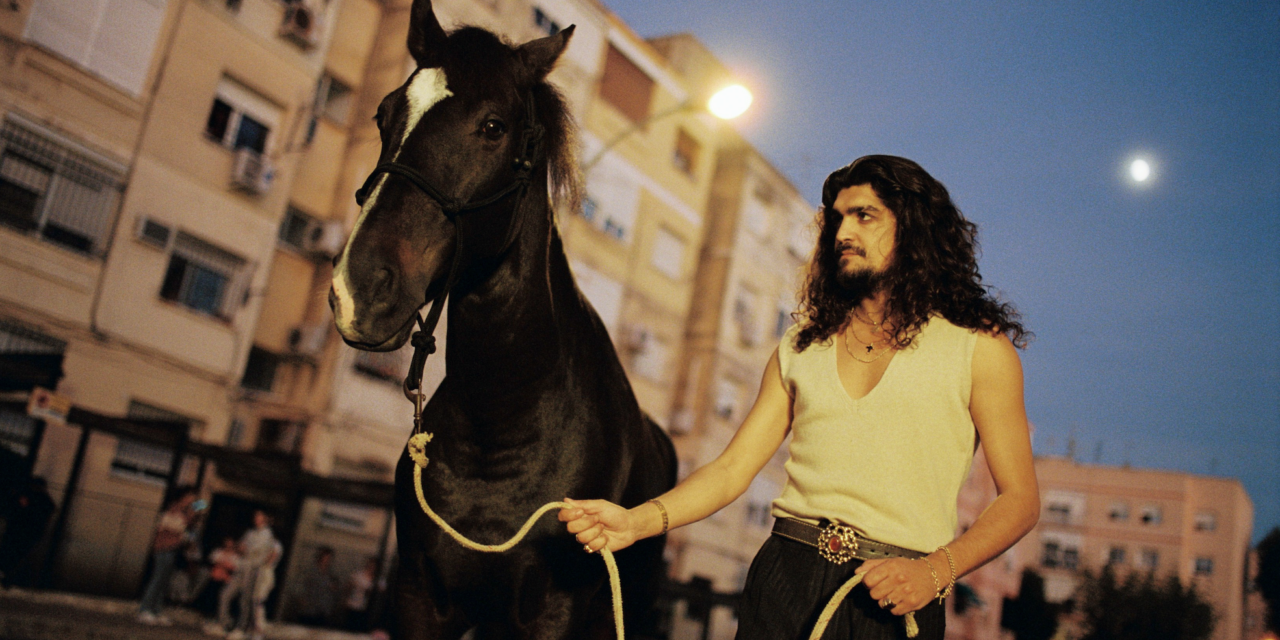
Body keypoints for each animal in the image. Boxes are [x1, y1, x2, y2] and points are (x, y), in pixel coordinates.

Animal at [327, 2, 680, 637]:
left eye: (493, 127)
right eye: (384, 113)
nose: (358, 288)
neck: (502, 423)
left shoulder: (553, 612)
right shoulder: (418, 595)